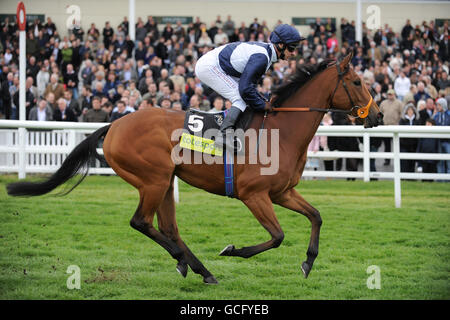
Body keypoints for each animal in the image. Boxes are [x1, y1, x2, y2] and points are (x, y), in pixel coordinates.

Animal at [5, 53, 382, 284]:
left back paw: (199, 268)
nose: (377, 115)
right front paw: (233, 250)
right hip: (153, 179)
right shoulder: (254, 195)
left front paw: (308, 262)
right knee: (141, 222)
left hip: (163, 181)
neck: (281, 131)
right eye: (358, 82)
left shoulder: (283, 192)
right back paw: (187, 261)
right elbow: (277, 237)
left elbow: (316, 216)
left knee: (167, 228)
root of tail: (114, 125)